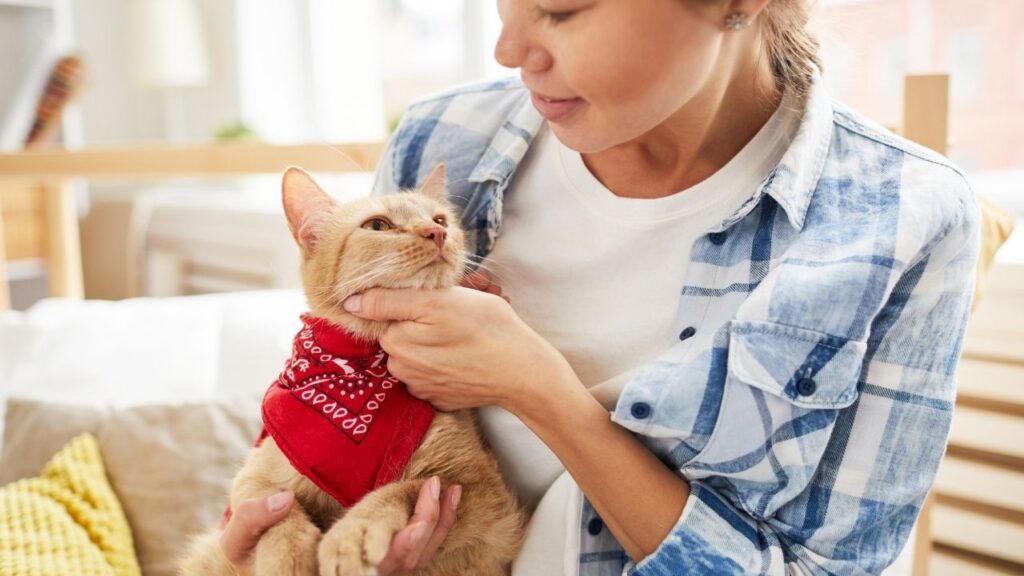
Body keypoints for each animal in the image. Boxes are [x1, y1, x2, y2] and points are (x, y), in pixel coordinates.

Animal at [179, 163, 524, 569]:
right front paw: (289, 558)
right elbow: (279, 514)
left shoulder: (485, 497)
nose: (437, 233)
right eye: (377, 226)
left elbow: (403, 489)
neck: (363, 370)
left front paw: (352, 535)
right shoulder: (253, 480)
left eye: (440, 220)